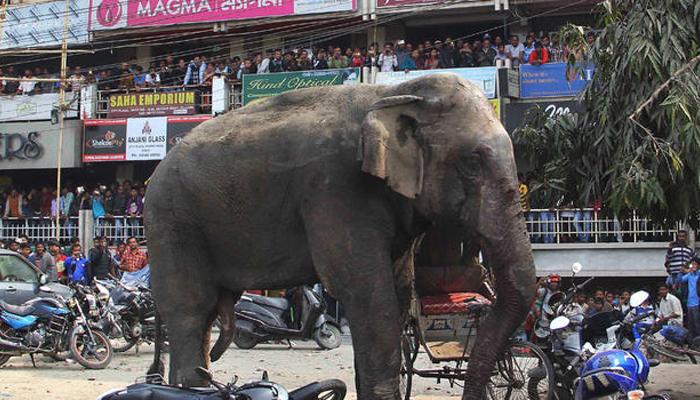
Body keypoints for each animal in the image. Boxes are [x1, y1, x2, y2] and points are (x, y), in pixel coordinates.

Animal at [142, 72, 536, 400]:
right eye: (472, 162)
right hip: (171, 221)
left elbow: (397, 292)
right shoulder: (335, 189)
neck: (394, 94)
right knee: (191, 310)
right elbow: (366, 293)